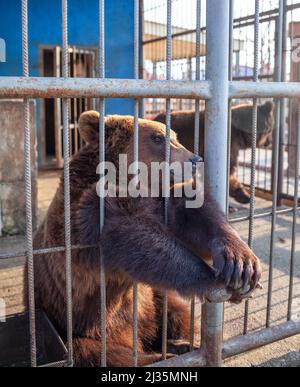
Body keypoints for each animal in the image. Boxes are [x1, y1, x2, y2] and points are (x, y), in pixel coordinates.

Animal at [32, 112, 262, 366]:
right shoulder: (85, 216)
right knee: (95, 352)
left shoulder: (164, 203)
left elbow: (195, 217)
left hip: (149, 300)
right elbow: (144, 242)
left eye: (175, 136)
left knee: (175, 312)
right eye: (158, 138)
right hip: (78, 322)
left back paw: (180, 343)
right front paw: (217, 283)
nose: (195, 159)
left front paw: (241, 264)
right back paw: (159, 355)